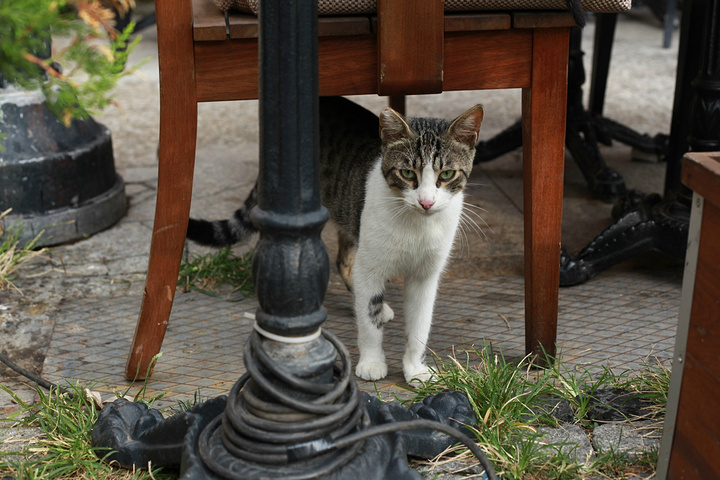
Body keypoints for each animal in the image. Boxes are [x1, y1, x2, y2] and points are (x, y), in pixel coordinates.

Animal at [187, 95, 484, 384]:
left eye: (447, 175)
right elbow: (369, 322)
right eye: (408, 173)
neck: (416, 226)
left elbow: (420, 324)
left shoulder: (425, 274)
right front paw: (372, 362)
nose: (426, 202)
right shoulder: (371, 265)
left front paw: (415, 369)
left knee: (344, 261)